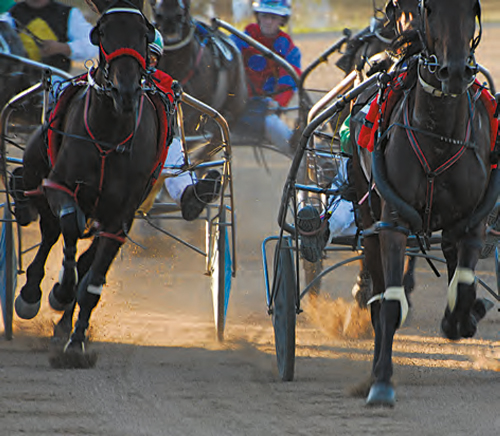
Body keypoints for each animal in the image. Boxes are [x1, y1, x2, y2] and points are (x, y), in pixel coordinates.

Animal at [13, 0, 172, 364]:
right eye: (101, 33)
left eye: (144, 34)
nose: (126, 91)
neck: (109, 133)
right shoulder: (60, 187)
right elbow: (69, 228)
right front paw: (59, 290)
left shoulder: (121, 217)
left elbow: (93, 281)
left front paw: (76, 341)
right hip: (37, 176)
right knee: (49, 232)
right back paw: (33, 293)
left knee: (86, 258)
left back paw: (63, 324)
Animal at [350, 0, 498, 406]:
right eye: (430, 8)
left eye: (472, 9)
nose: (455, 72)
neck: (439, 134)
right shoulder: (394, 221)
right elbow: (389, 303)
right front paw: (381, 382)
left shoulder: (472, 222)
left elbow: (463, 287)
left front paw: (464, 317)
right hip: (367, 212)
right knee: (378, 290)